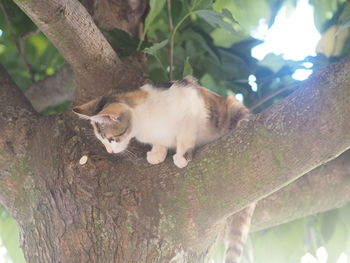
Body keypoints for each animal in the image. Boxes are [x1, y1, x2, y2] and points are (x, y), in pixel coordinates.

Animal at [72, 75, 250, 168]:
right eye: (102, 141)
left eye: (111, 139)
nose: (110, 152)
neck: (145, 123)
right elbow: (159, 141)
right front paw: (157, 153)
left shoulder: (191, 104)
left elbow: (184, 136)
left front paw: (182, 155)